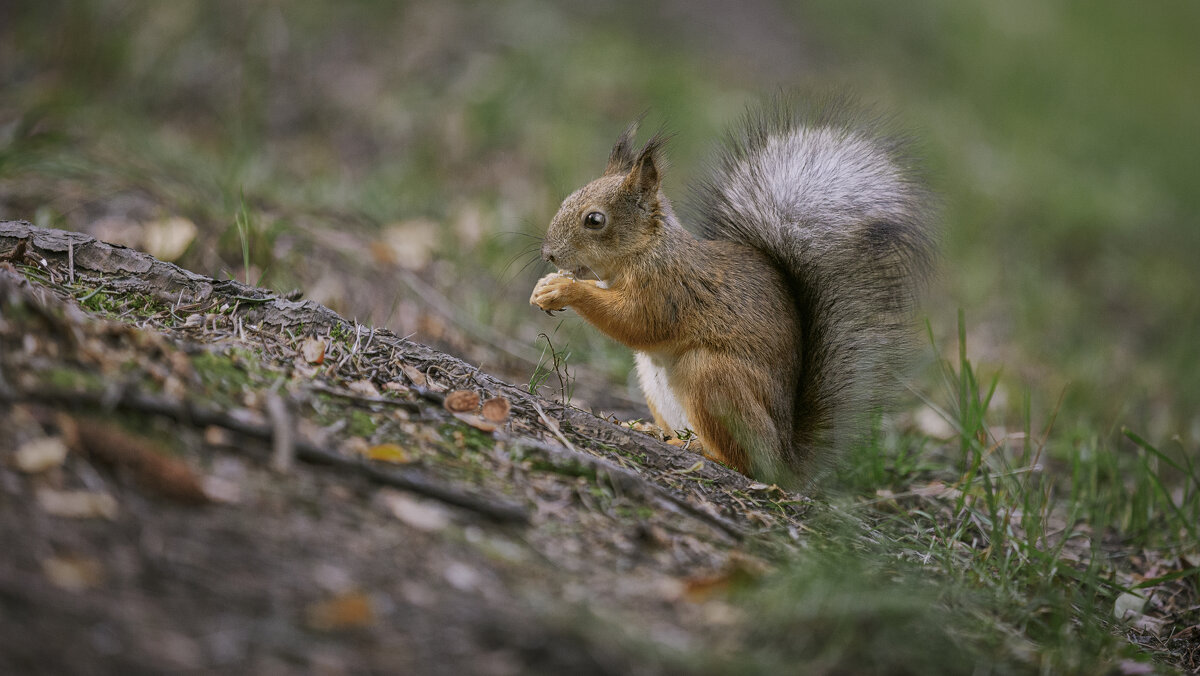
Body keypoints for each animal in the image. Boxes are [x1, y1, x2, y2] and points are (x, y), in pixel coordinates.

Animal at [528, 96, 936, 487]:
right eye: (568, 199)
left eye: (595, 220)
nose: (549, 254)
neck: (646, 249)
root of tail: (786, 460)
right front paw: (544, 287)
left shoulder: (667, 289)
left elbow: (636, 323)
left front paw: (565, 289)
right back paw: (647, 428)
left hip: (711, 377)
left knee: (744, 463)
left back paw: (700, 451)